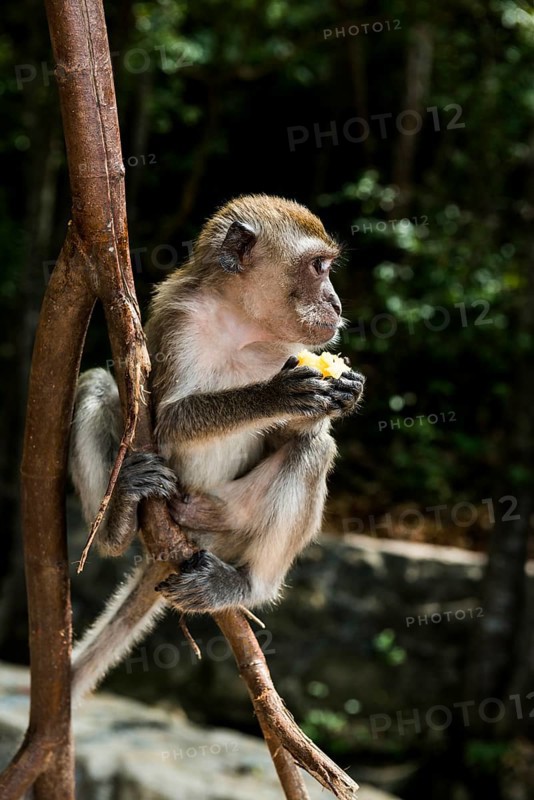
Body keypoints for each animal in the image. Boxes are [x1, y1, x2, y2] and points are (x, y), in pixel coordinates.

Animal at [69, 194, 364, 700]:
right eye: (318, 266)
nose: (336, 301)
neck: (242, 324)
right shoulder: (181, 319)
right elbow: (167, 419)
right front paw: (273, 395)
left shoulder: (287, 344)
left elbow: (292, 434)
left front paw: (343, 393)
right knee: (96, 385)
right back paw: (116, 525)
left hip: (235, 516)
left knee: (312, 449)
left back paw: (248, 585)